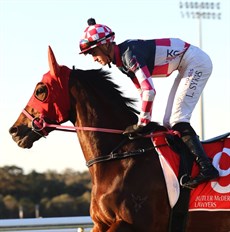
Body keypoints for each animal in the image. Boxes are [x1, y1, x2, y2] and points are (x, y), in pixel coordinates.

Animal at [9, 46, 230, 231]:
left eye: (40, 90)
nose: (15, 130)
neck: (119, 156)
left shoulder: (134, 224)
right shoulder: (100, 223)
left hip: (197, 66)